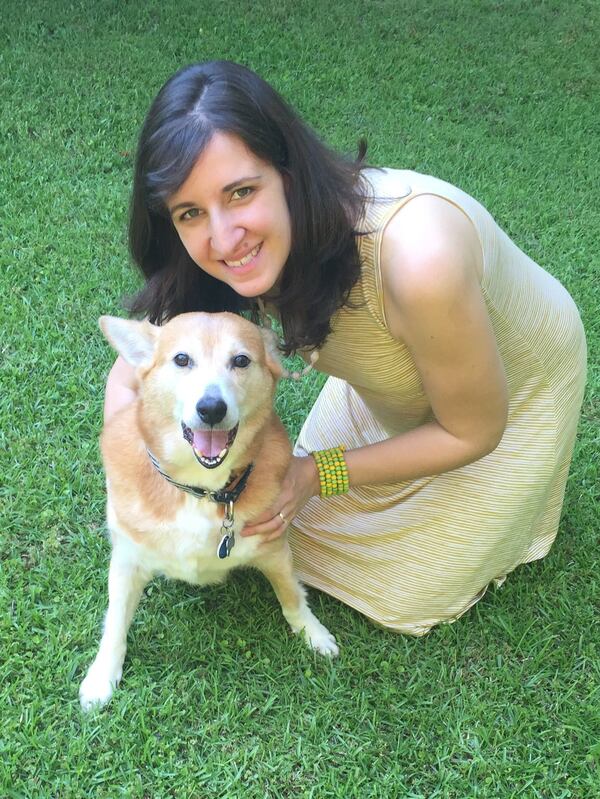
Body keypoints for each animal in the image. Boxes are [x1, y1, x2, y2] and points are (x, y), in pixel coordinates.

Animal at [79, 312, 338, 712]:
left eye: (241, 360)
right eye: (182, 359)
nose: (212, 408)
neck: (200, 490)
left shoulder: (274, 549)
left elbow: (292, 597)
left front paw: (313, 633)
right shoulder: (127, 560)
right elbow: (116, 622)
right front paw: (102, 675)